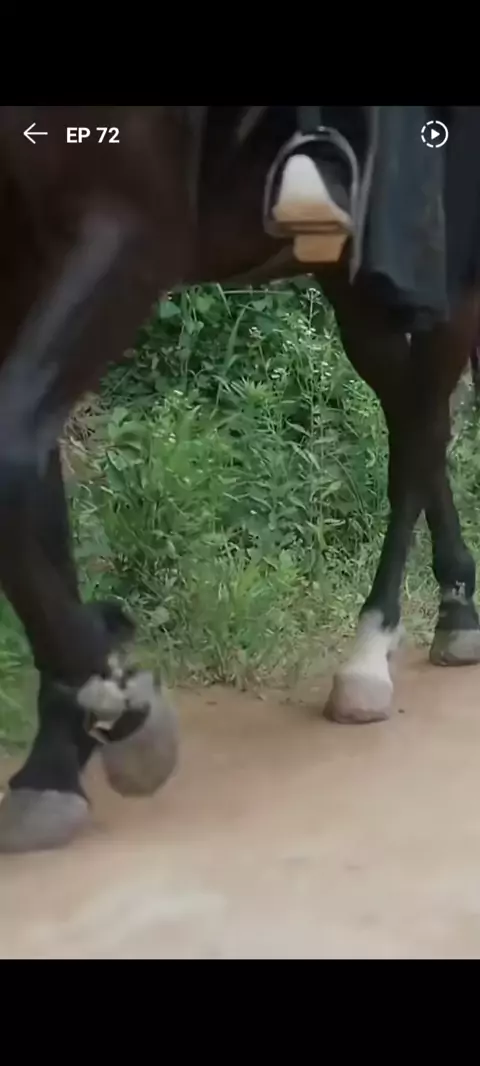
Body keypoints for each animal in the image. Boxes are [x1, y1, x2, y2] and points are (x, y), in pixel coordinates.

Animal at [0, 104, 478, 852]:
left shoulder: (127, 230)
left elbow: (13, 459)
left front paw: (124, 708)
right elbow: (29, 480)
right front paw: (56, 758)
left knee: (420, 432)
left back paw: (370, 654)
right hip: (354, 279)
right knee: (416, 421)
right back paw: (456, 607)